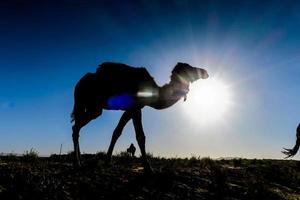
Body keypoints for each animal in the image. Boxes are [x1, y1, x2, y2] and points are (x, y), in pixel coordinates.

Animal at [72, 61, 209, 173]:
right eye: (189, 67)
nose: (205, 72)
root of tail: (79, 83)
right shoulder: (135, 108)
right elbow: (140, 136)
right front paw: (148, 168)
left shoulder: (131, 109)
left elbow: (117, 132)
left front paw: (107, 161)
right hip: (91, 105)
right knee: (76, 127)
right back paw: (77, 163)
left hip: (93, 108)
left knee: (77, 126)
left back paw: (80, 162)